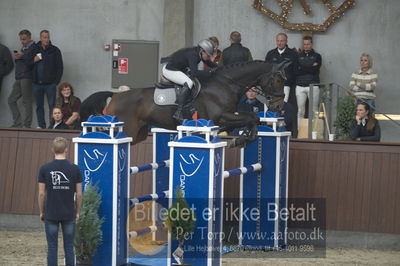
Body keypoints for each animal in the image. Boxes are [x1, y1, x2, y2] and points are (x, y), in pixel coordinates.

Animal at [106, 60, 288, 147]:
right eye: (278, 80)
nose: (279, 106)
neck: (226, 84)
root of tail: (115, 97)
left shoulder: (229, 115)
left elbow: (253, 118)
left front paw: (243, 139)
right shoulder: (220, 117)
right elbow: (250, 118)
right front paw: (239, 140)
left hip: (139, 133)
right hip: (128, 130)